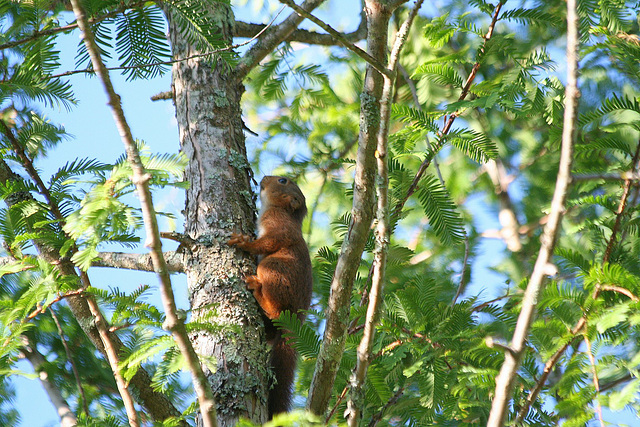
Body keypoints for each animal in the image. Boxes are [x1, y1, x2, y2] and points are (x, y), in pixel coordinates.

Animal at [228, 176, 312, 420]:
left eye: (283, 181)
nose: (263, 178)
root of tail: (294, 319)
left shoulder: (278, 226)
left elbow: (267, 242)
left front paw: (243, 242)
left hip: (272, 269)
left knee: (274, 310)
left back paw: (257, 289)